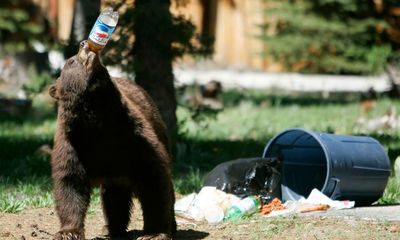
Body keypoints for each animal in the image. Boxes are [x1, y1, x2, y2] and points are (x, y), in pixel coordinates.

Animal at [49, 40, 176, 239]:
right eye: (70, 61)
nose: (83, 43)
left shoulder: (134, 138)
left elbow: (154, 180)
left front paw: (154, 233)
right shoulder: (72, 144)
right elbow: (69, 182)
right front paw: (68, 231)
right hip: (115, 174)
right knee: (114, 197)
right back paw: (111, 228)